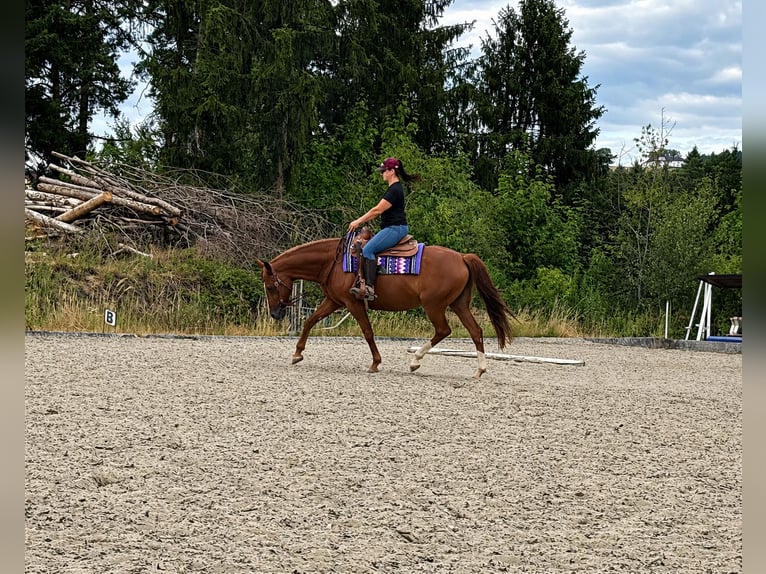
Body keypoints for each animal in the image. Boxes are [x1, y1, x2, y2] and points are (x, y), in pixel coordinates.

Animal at [255, 236, 514, 379]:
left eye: (269, 286)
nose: (275, 313)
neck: (334, 262)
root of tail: (461, 257)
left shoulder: (352, 303)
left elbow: (368, 332)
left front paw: (375, 363)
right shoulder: (334, 301)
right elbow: (310, 321)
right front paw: (297, 354)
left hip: (434, 305)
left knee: (444, 330)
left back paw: (415, 360)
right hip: (458, 304)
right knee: (475, 331)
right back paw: (479, 370)